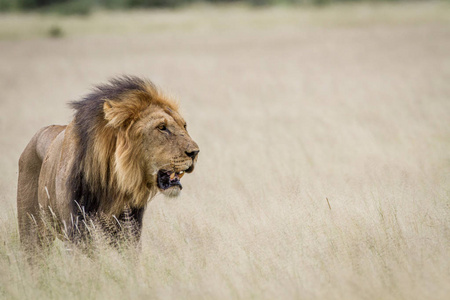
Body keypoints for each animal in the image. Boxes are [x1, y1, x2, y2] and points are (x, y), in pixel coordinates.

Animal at [17, 76, 200, 250]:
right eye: (162, 127)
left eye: (184, 125)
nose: (195, 152)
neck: (113, 185)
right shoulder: (77, 233)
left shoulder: (129, 233)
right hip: (31, 233)